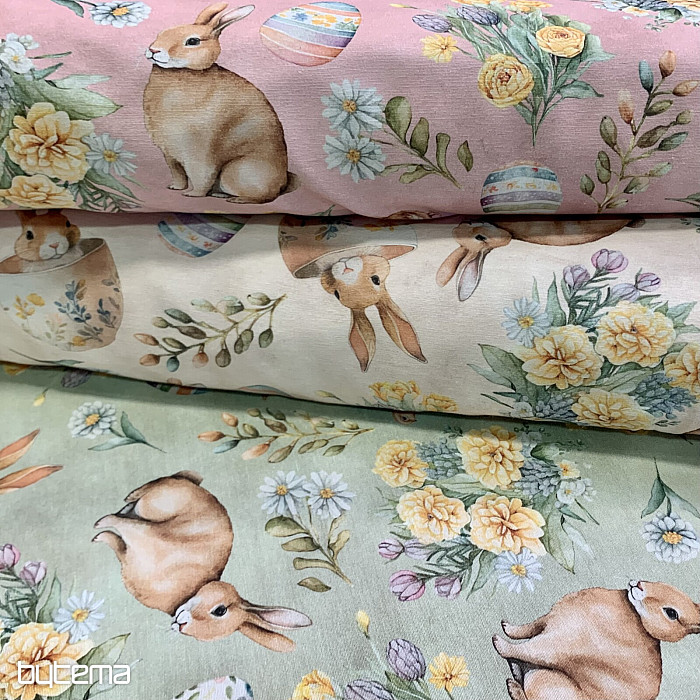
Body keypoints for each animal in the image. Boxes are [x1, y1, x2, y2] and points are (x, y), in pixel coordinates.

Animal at [93, 471, 312, 650]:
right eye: (220, 610)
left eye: (196, 637)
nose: (180, 625)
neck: (191, 590)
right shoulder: (146, 535)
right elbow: (121, 525)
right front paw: (101, 524)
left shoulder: (127, 553)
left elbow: (116, 540)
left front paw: (100, 536)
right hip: (157, 504)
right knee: (153, 488)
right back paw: (122, 503)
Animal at [143, 3, 298, 205]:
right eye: (162, 32)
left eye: (193, 41)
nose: (154, 50)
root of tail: (283, 183)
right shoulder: (169, 155)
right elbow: (178, 175)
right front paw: (175, 188)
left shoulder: (199, 152)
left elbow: (201, 176)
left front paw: (193, 195)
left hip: (234, 172)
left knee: (264, 197)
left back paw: (236, 199)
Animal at [493, 580, 700, 700]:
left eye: (671, 613)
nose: (639, 584)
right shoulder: (548, 621)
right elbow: (527, 629)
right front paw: (505, 626)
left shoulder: (557, 642)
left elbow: (526, 647)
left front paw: (498, 642)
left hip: (539, 677)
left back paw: (513, 686)